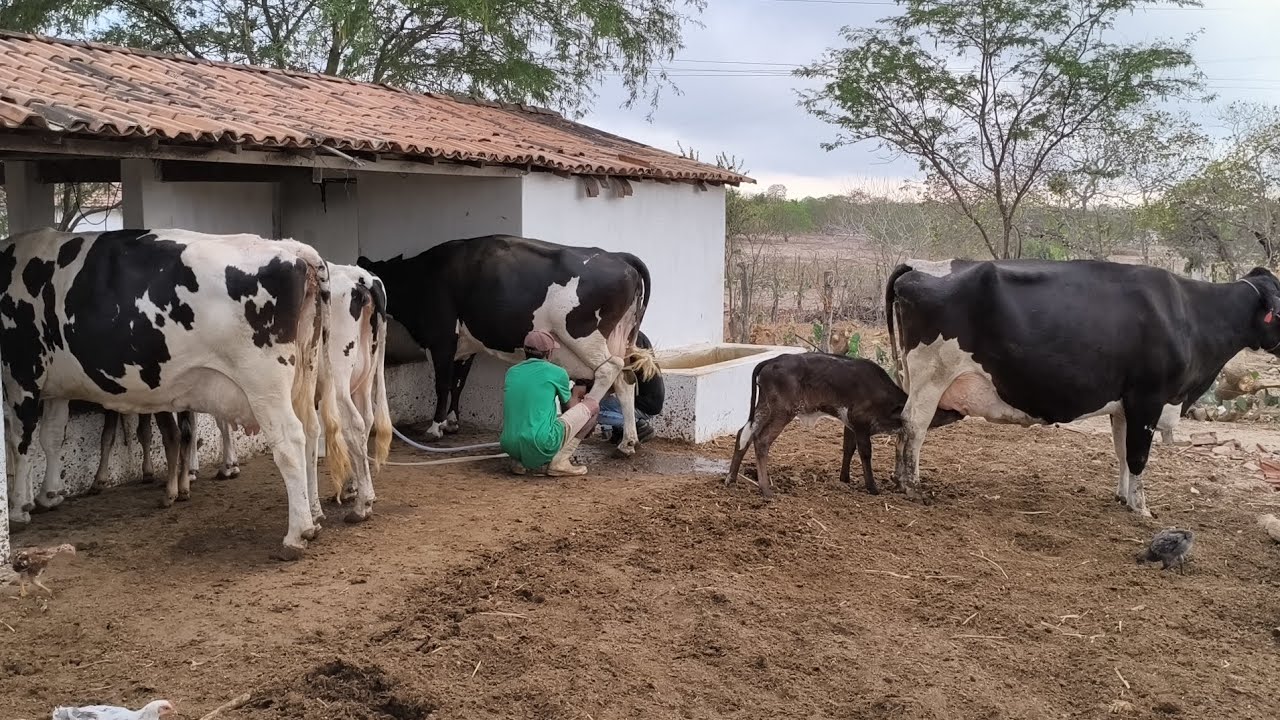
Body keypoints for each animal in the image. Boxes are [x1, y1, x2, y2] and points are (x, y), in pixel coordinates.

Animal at [1, 228, 351, 560]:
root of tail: (290, 248)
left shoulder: (22, 372)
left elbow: (21, 442)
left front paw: (18, 508)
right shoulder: (53, 388)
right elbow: (51, 437)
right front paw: (48, 495)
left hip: (265, 383)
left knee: (290, 439)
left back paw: (297, 533)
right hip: (305, 371)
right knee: (311, 430)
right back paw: (315, 514)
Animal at [357, 235, 656, 456]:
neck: (421, 277)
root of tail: (618, 256)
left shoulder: (441, 339)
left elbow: (442, 384)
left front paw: (435, 428)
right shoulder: (465, 345)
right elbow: (458, 383)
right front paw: (452, 422)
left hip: (583, 334)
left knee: (609, 370)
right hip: (620, 337)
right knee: (625, 379)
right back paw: (627, 442)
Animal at [725, 352, 963, 498]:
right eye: (935, 408)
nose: (957, 411)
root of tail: (773, 360)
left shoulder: (849, 423)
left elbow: (848, 448)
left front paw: (845, 479)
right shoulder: (860, 423)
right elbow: (865, 453)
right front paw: (872, 487)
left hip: (764, 406)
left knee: (743, 434)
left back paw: (731, 479)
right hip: (783, 410)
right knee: (761, 440)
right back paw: (765, 489)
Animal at [884, 258, 1280, 518]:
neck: (1190, 314)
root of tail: (917, 270)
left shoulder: (1124, 405)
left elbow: (1122, 452)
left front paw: (1123, 497)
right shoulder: (1148, 399)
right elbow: (1139, 456)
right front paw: (1142, 508)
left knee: (904, 427)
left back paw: (900, 479)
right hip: (932, 377)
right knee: (914, 426)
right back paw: (911, 485)